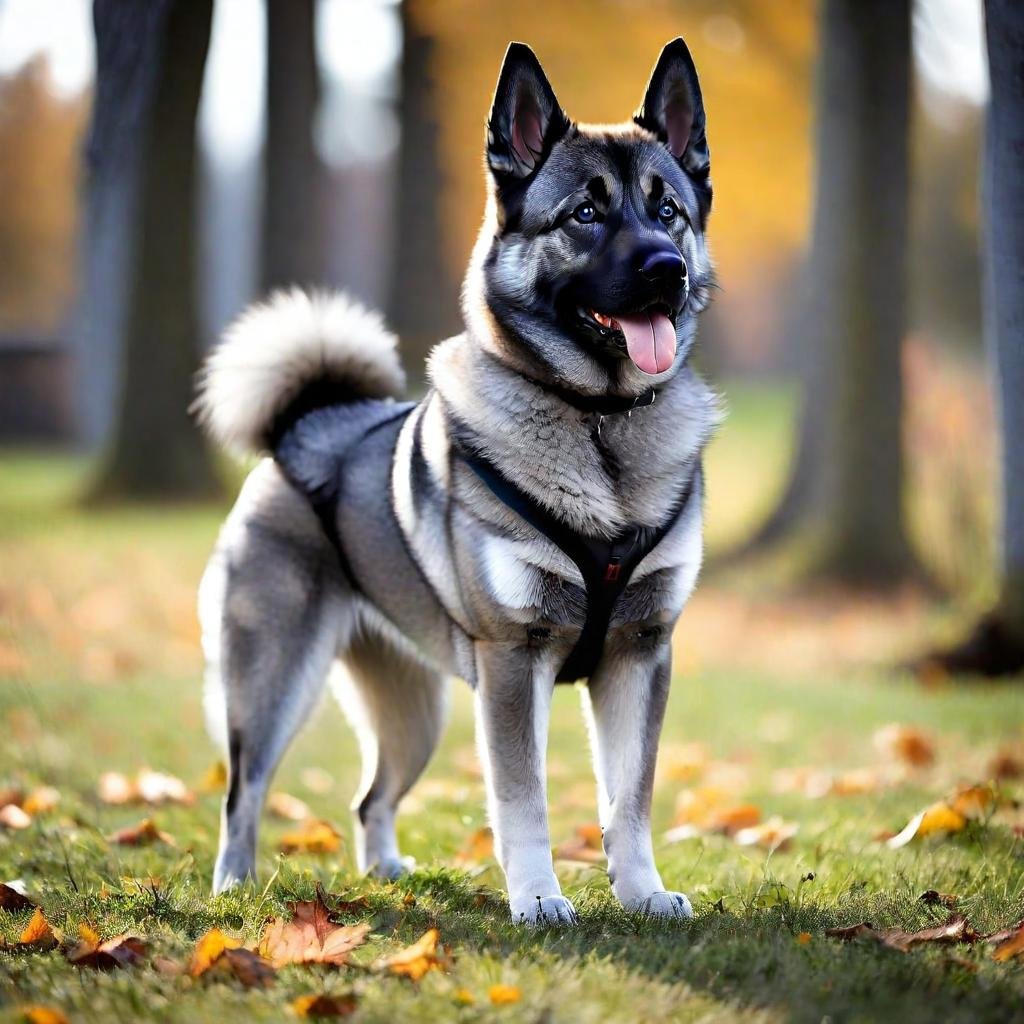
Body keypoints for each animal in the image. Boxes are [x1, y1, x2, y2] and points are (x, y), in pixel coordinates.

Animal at [195, 36, 716, 925]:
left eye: (669, 210)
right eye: (584, 214)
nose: (667, 269)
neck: (599, 421)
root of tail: (307, 423)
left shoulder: (642, 653)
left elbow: (631, 798)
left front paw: (644, 894)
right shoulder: (513, 661)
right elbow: (523, 798)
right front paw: (539, 902)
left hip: (417, 711)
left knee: (370, 797)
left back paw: (385, 869)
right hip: (271, 687)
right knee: (244, 792)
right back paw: (232, 885)